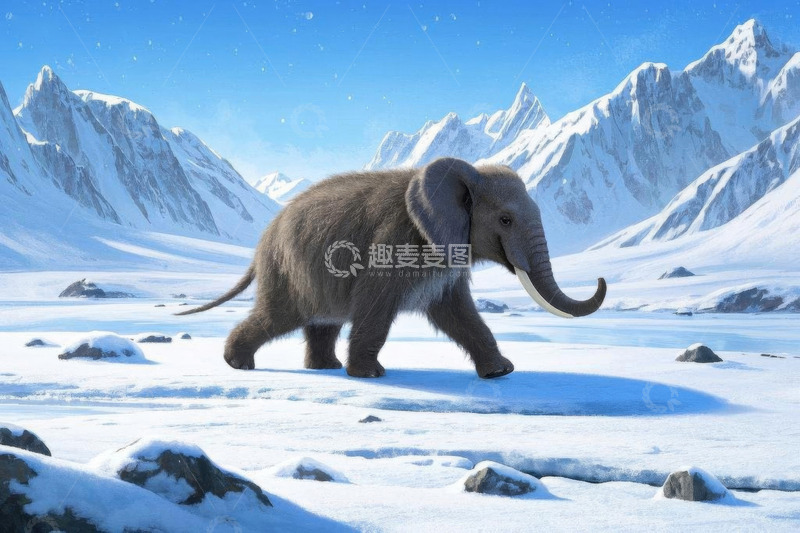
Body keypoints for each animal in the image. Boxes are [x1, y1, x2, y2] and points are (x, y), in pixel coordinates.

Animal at [177, 158, 606, 378]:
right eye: (505, 220)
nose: (601, 278)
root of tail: (261, 242)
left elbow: (457, 312)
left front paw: (501, 372)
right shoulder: (396, 239)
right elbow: (376, 304)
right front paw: (370, 375)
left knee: (322, 321)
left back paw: (325, 368)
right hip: (287, 271)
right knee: (279, 316)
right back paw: (239, 364)